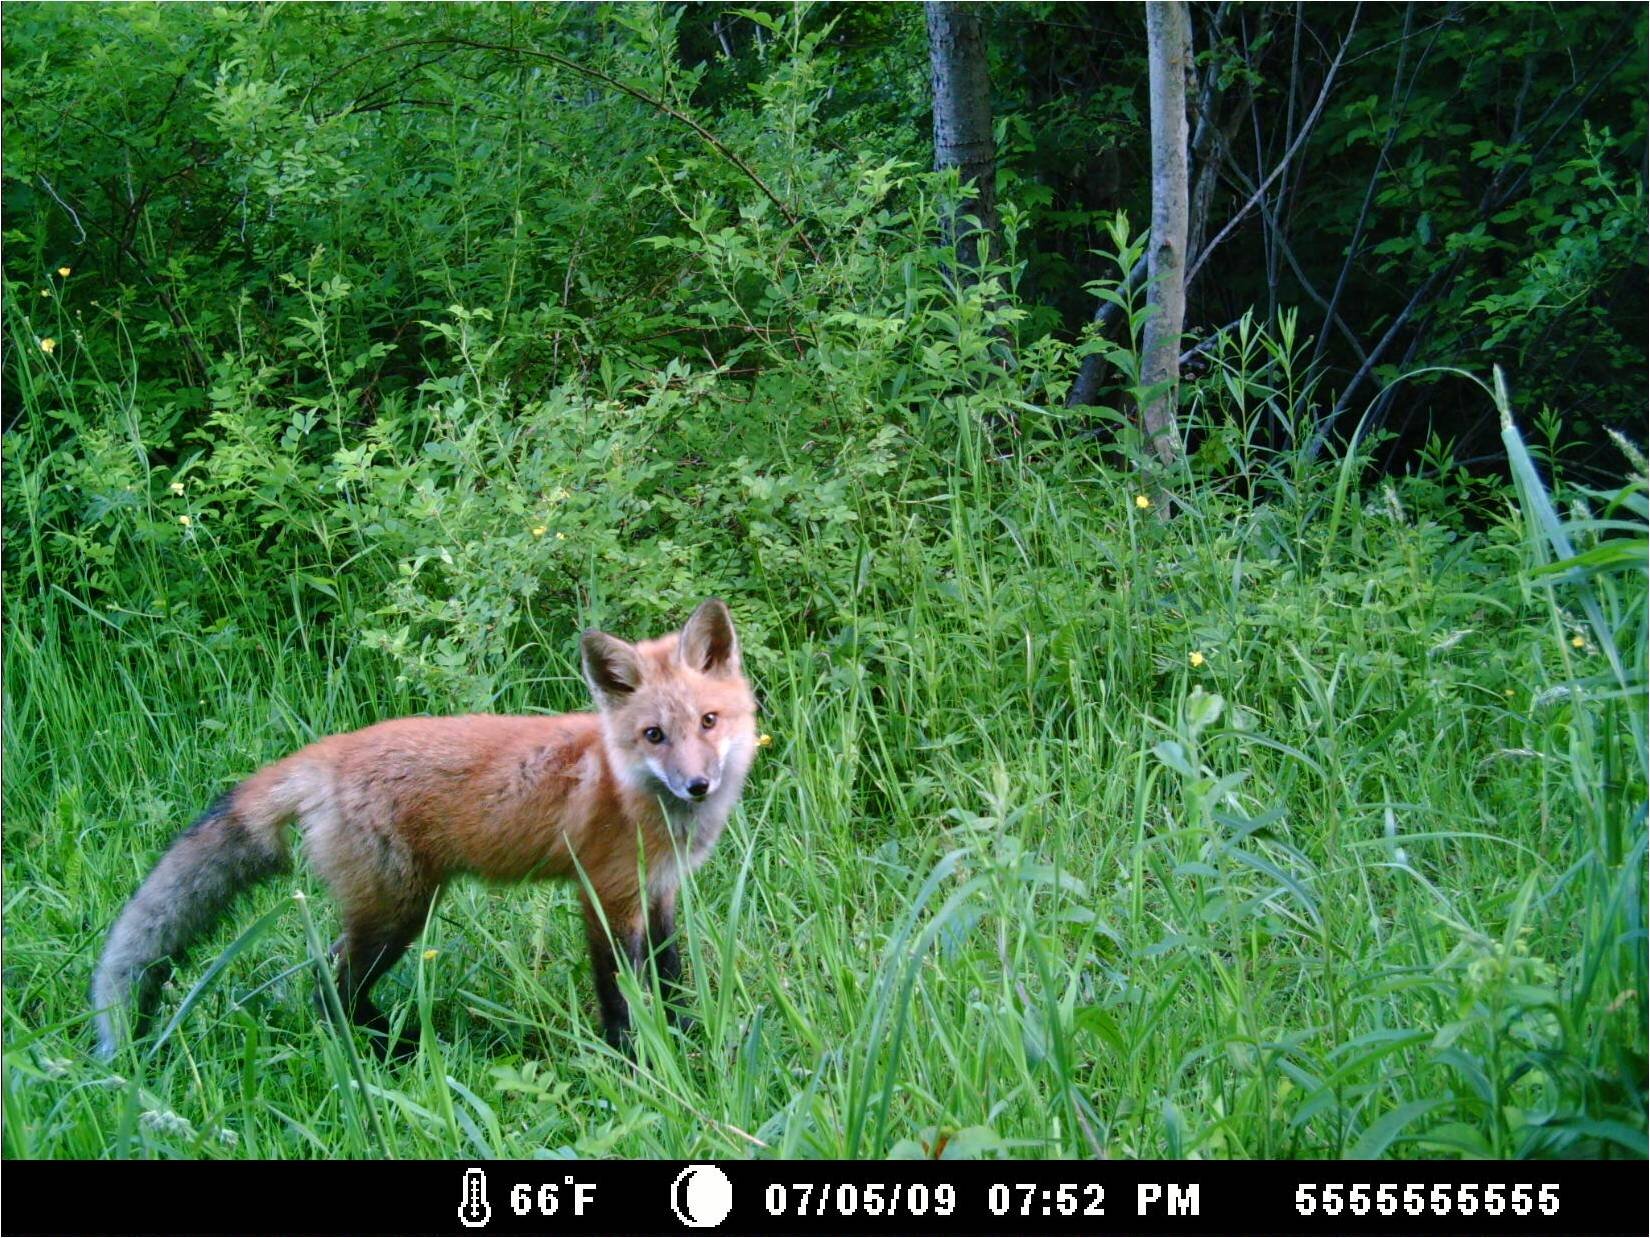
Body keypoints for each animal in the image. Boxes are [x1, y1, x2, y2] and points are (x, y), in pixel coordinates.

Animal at [91, 598, 757, 1060]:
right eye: (654, 735)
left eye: (708, 721)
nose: (697, 785)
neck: (634, 794)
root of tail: (326, 753)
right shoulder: (606, 896)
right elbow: (620, 996)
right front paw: (634, 1062)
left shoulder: (660, 891)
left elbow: (671, 980)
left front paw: (688, 1040)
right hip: (397, 914)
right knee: (328, 991)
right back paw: (392, 1057)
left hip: (393, 911)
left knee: (328, 984)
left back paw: (398, 1045)